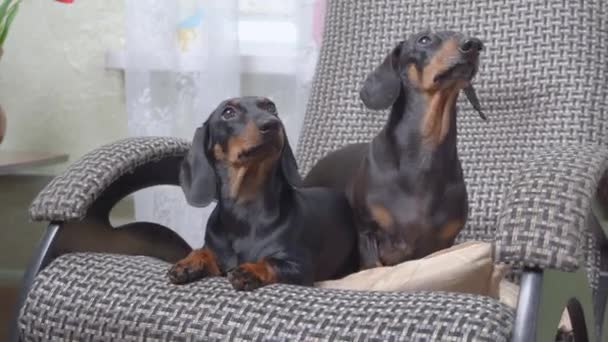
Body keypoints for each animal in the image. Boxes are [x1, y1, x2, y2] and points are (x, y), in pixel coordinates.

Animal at [167, 96, 356, 292]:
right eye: (228, 112)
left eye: (271, 108)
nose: (272, 123)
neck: (245, 211)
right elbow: (203, 252)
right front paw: (188, 263)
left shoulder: (300, 267)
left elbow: (270, 262)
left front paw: (249, 270)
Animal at [302, 30, 486, 270]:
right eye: (424, 40)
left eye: (460, 34)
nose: (474, 45)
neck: (423, 158)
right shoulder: (367, 233)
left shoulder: (443, 244)